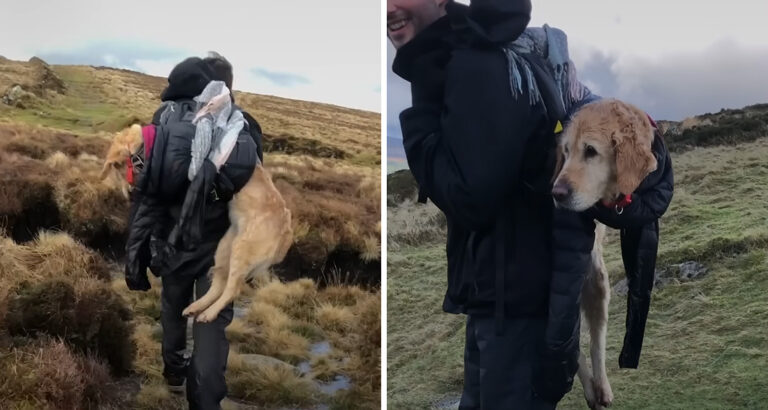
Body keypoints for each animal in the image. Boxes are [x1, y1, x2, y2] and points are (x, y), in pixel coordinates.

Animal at [100, 123, 292, 322]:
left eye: (117, 168)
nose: (130, 193)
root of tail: (286, 234)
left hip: (241, 252)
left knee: (231, 290)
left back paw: (209, 313)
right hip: (225, 247)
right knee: (218, 286)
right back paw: (195, 308)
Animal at [548, 100, 656, 410]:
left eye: (591, 151)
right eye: (566, 151)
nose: (556, 193)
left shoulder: (596, 283)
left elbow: (595, 342)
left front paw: (601, 387)